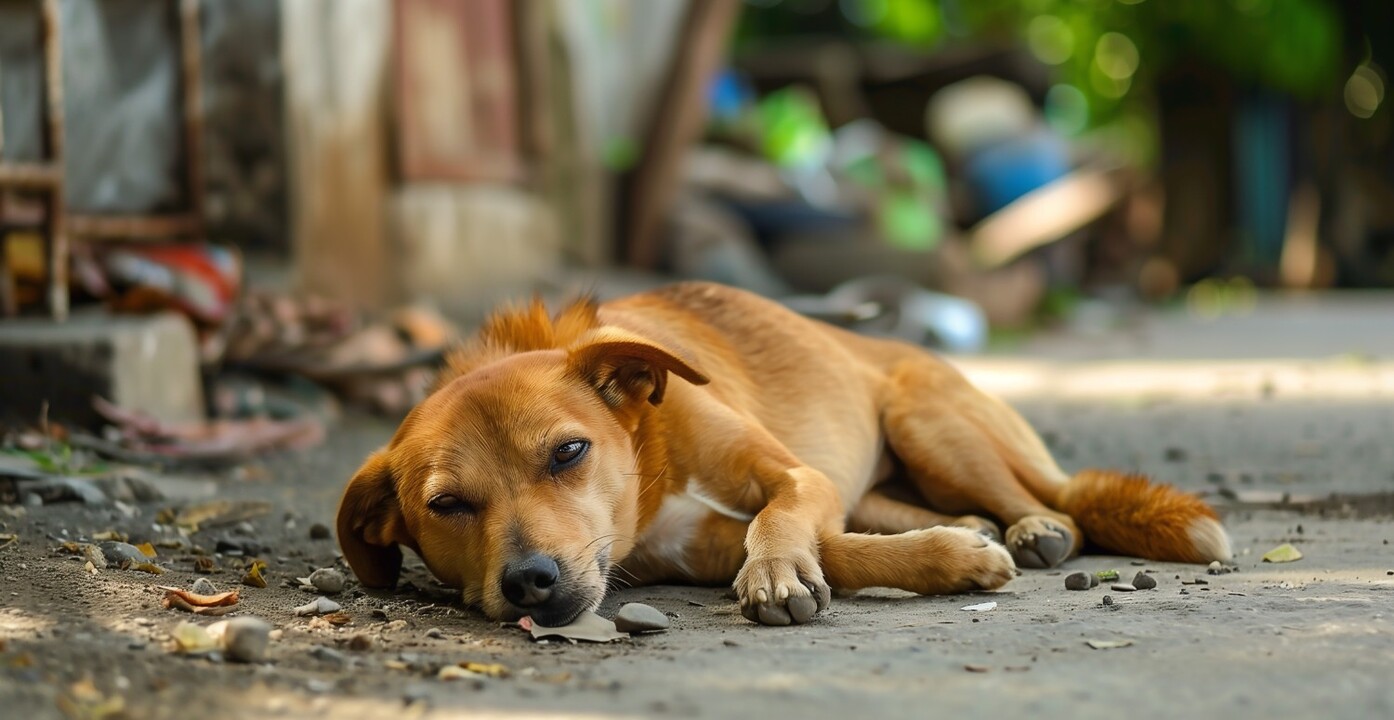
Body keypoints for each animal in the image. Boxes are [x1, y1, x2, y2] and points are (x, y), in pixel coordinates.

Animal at [337, 281, 1232, 625]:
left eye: (568, 453)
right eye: (447, 506)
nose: (530, 582)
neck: (651, 456)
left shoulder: (794, 477)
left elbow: (782, 521)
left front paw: (774, 574)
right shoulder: (693, 548)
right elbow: (839, 549)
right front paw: (951, 557)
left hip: (929, 423)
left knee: (1054, 502)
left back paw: (1033, 527)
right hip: (889, 473)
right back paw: (978, 529)